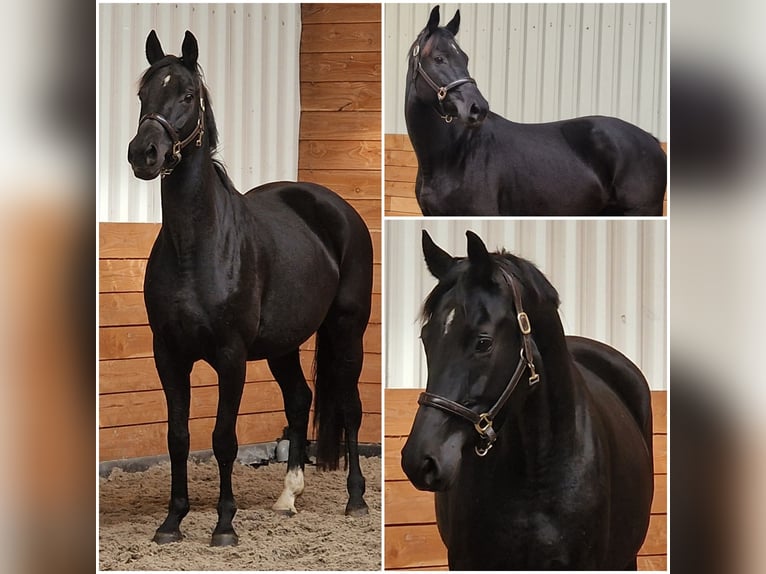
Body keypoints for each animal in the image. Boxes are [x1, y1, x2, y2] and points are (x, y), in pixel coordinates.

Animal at [126, 30, 373, 546]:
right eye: (143, 95)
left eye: (188, 95)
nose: (144, 155)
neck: (196, 246)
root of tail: (337, 208)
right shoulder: (168, 354)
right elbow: (178, 436)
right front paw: (172, 522)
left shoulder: (231, 355)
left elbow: (224, 439)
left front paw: (224, 525)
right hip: (283, 344)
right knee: (299, 400)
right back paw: (287, 497)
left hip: (347, 332)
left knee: (351, 406)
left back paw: (356, 500)